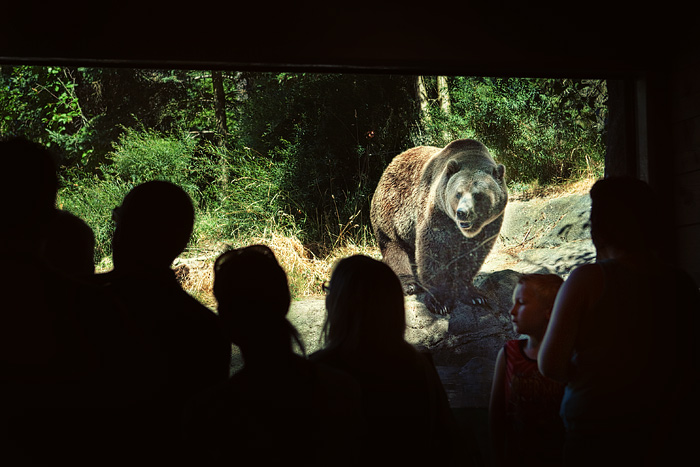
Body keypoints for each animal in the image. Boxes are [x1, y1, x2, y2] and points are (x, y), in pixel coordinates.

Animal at [370, 139, 508, 314]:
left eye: (478, 195)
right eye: (458, 193)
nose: (462, 213)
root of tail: (391, 163)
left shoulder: (489, 224)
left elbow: (472, 255)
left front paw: (474, 295)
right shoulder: (437, 211)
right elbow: (434, 249)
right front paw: (440, 301)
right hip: (391, 212)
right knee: (395, 247)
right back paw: (409, 284)